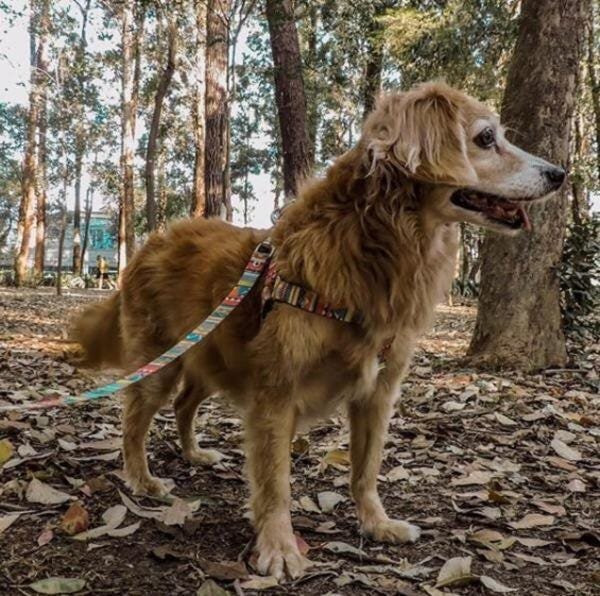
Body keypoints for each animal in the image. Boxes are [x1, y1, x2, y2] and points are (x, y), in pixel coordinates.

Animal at [72, 81, 564, 580]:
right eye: (485, 138)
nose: (560, 174)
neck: (373, 244)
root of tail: (151, 241)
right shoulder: (275, 394)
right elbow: (276, 482)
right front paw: (278, 546)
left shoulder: (376, 393)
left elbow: (365, 471)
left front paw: (377, 524)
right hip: (161, 364)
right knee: (135, 421)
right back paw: (143, 479)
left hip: (212, 359)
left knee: (184, 404)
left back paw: (194, 453)